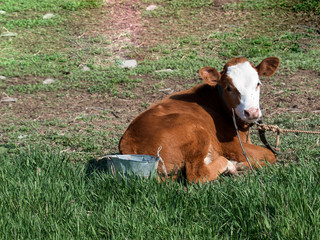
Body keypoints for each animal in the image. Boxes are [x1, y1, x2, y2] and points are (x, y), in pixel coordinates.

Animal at [119, 56, 278, 182]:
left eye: (258, 83)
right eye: (228, 88)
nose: (251, 112)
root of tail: (127, 143)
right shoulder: (229, 145)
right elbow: (270, 155)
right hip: (195, 131)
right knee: (197, 174)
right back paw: (234, 165)